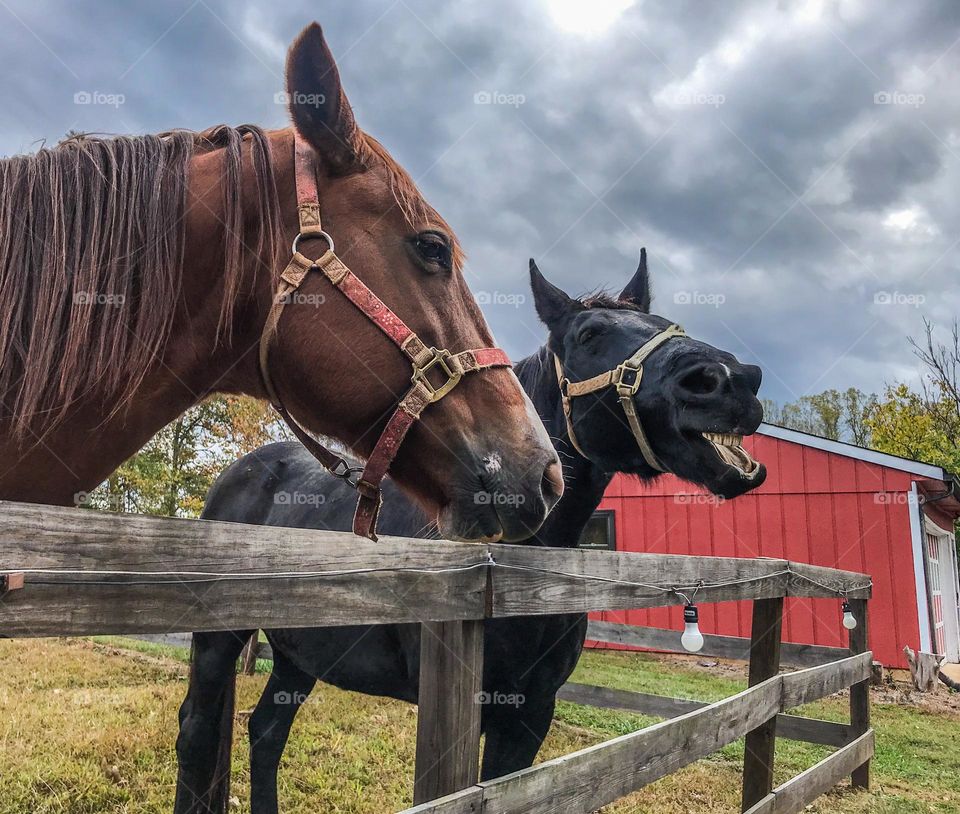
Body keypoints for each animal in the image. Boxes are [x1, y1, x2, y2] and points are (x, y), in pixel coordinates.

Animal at [181, 252, 767, 813]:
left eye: (665, 324)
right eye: (589, 335)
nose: (728, 382)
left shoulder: (531, 713)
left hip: (298, 656)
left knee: (265, 732)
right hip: (218, 643)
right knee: (195, 731)